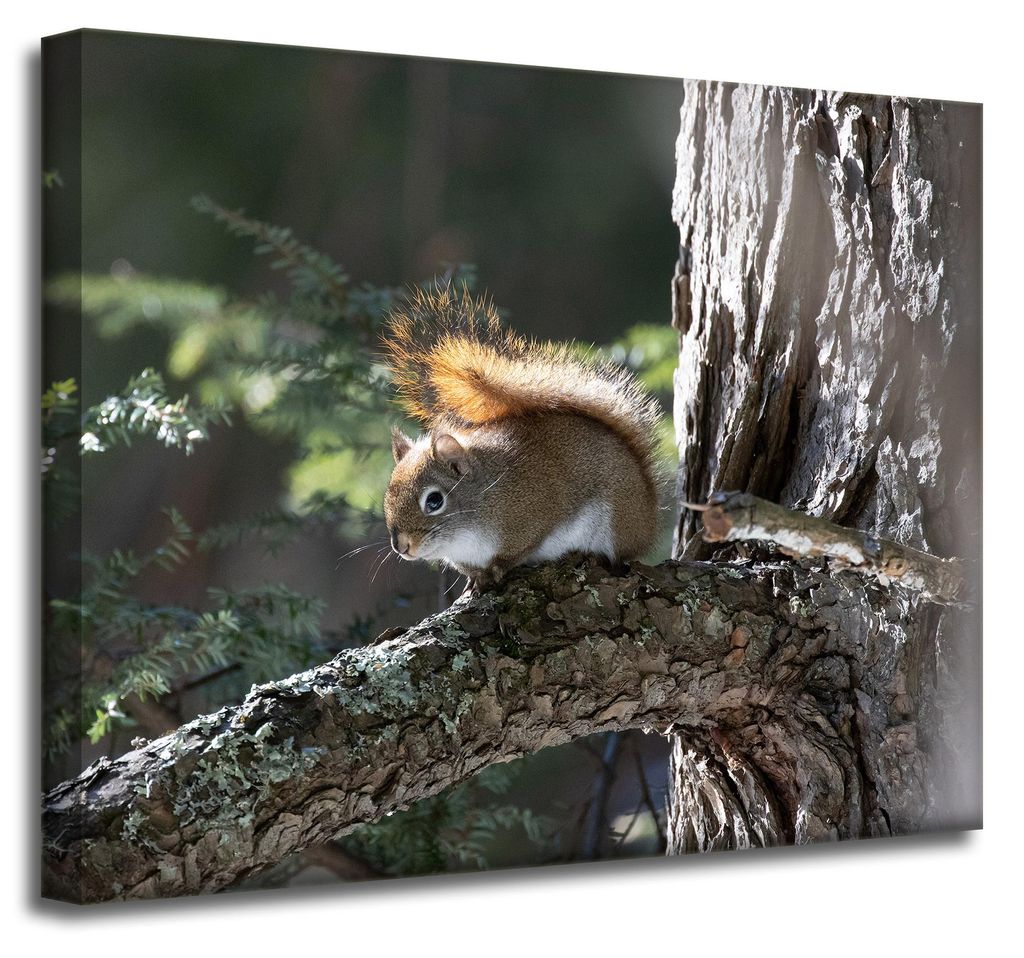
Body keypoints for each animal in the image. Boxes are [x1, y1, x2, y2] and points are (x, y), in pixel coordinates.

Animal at [382, 284, 663, 588]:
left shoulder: (531, 514)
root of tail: (648, 517)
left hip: (617, 518)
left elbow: (520, 548)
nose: (402, 546)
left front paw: (497, 568)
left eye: (434, 501)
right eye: (387, 496)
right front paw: (475, 578)